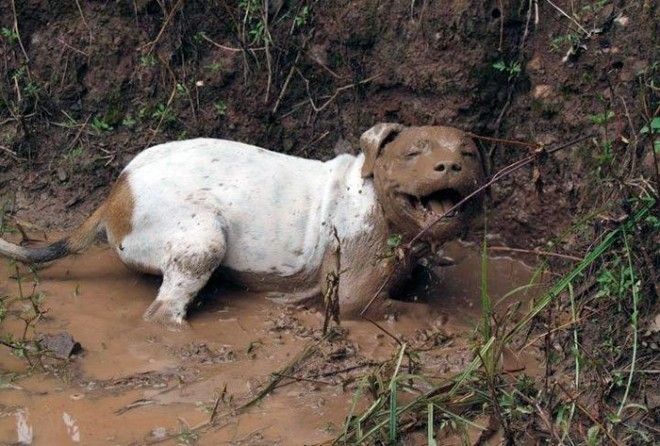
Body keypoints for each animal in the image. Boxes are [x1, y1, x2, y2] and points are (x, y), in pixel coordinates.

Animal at [0, 123, 484, 326]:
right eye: (413, 152)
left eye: (470, 153)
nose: (450, 166)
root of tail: (116, 193)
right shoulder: (354, 299)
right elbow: (410, 308)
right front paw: (443, 319)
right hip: (203, 240)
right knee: (163, 311)